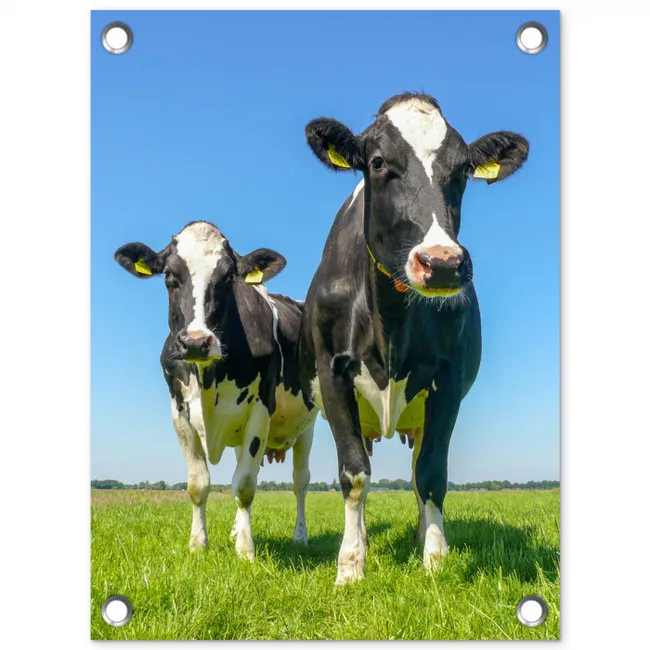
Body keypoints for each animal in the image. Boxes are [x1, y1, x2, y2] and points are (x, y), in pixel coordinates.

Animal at [114, 221, 317, 559]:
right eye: (169, 276)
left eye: (228, 277)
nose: (196, 341)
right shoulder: (179, 414)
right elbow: (199, 483)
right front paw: (198, 544)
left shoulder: (260, 410)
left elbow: (245, 484)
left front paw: (246, 550)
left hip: (308, 425)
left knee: (300, 482)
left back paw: (300, 536)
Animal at [299, 92, 529, 585]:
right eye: (378, 162)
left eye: (462, 170)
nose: (441, 263)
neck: (390, 321)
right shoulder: (333, 373)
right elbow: (354, 474)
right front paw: (350, 565)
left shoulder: (448, 381)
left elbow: (431, 474)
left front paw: (435, 559)